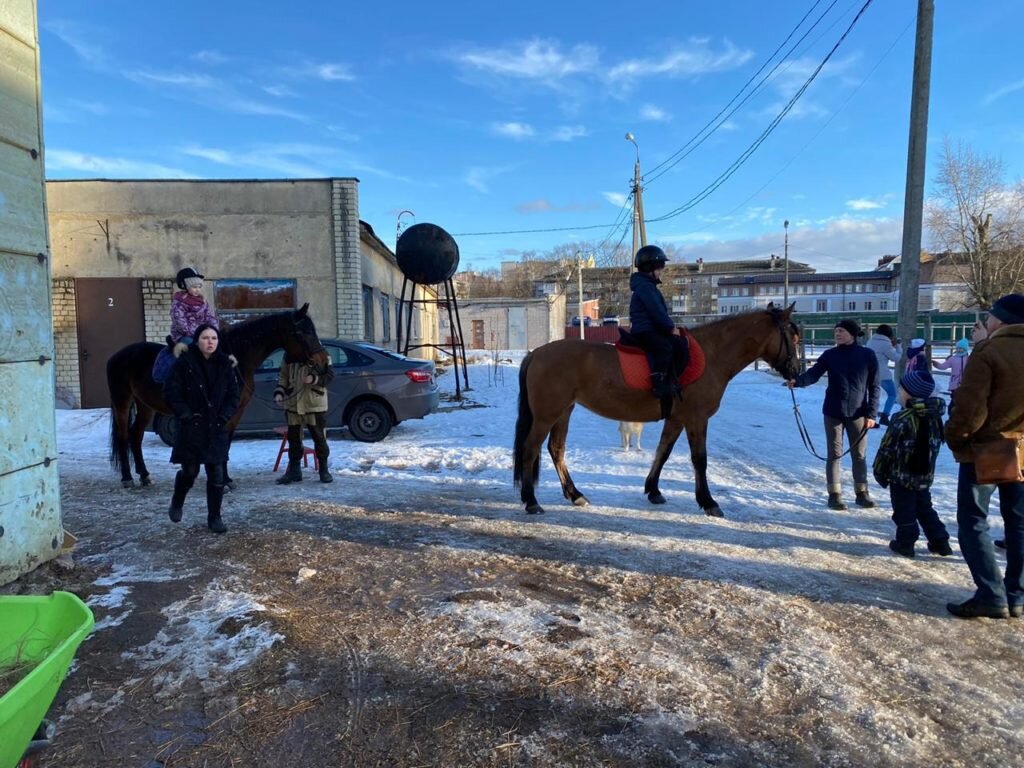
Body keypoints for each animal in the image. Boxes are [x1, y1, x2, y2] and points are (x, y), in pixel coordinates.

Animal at [105, 305, 321, 487]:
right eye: (303, 332)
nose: (321, 360)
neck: (236, 360)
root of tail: (116, 356)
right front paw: (221, 481)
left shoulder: (235, 412)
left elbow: (227, 443)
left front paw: (226, 479)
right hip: (122, 401)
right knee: (124, 436)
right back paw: (127, 478)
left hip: (145, 405)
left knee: (136, 435)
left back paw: (144, 475)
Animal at [512, 307, 798, 518]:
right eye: (793, 338)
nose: (795, 372)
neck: (710, 356)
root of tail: (536, 353)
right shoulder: (696, 419)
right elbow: (700, 459)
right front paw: (708, 502)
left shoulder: (676, 419)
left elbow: (663, 452)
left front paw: (653, 490)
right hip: (547, 415)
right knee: (530, 449)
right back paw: (531, 500)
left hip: (563, 411)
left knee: (556, 449)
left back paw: (575, 494)